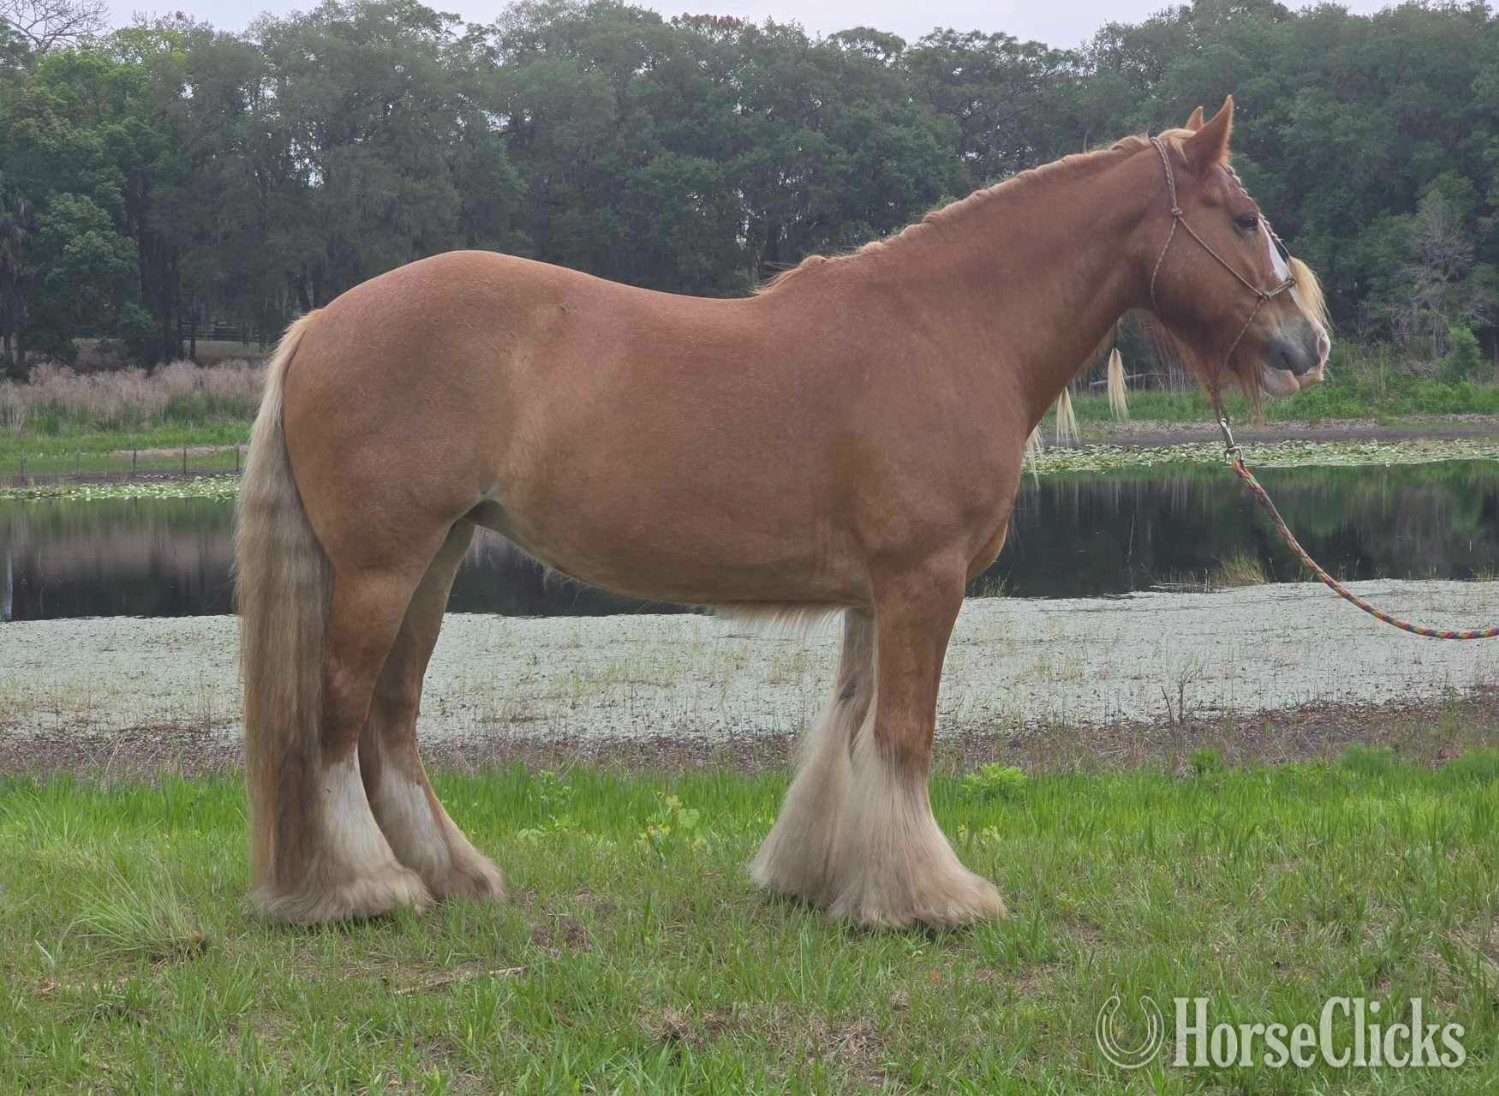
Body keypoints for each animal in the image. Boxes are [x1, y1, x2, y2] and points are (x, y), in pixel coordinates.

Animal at [235, 97, 1329, 928]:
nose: (1305, 342)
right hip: (384, 565)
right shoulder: (923, 580)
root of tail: (321, 322)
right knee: (336, 715)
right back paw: (365, 888)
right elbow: (903, 736)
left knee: (389, 720)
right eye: (1241, 217)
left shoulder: (874, 594)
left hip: (436, 559)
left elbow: (850, 732)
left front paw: (822, 879)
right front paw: (932, 899)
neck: (949, 326)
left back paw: (450, 877)